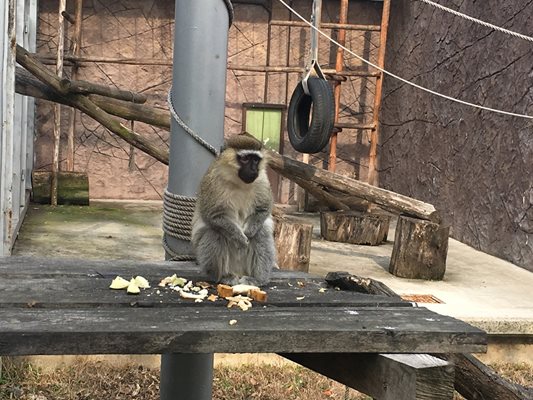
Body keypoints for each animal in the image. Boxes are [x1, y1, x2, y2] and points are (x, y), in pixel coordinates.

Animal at [190, 134, 274, 284]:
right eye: (245, 159)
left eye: (255, 160)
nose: (254, 170)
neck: (238, 182)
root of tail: (238, 271)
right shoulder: (212, 182)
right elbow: (213, 216)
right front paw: (239, 237)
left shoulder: (262, 179)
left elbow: (263, 209)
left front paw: (249, 232)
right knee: (214, 232)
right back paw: (222, 276)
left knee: (261, 233)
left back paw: (258, 279)